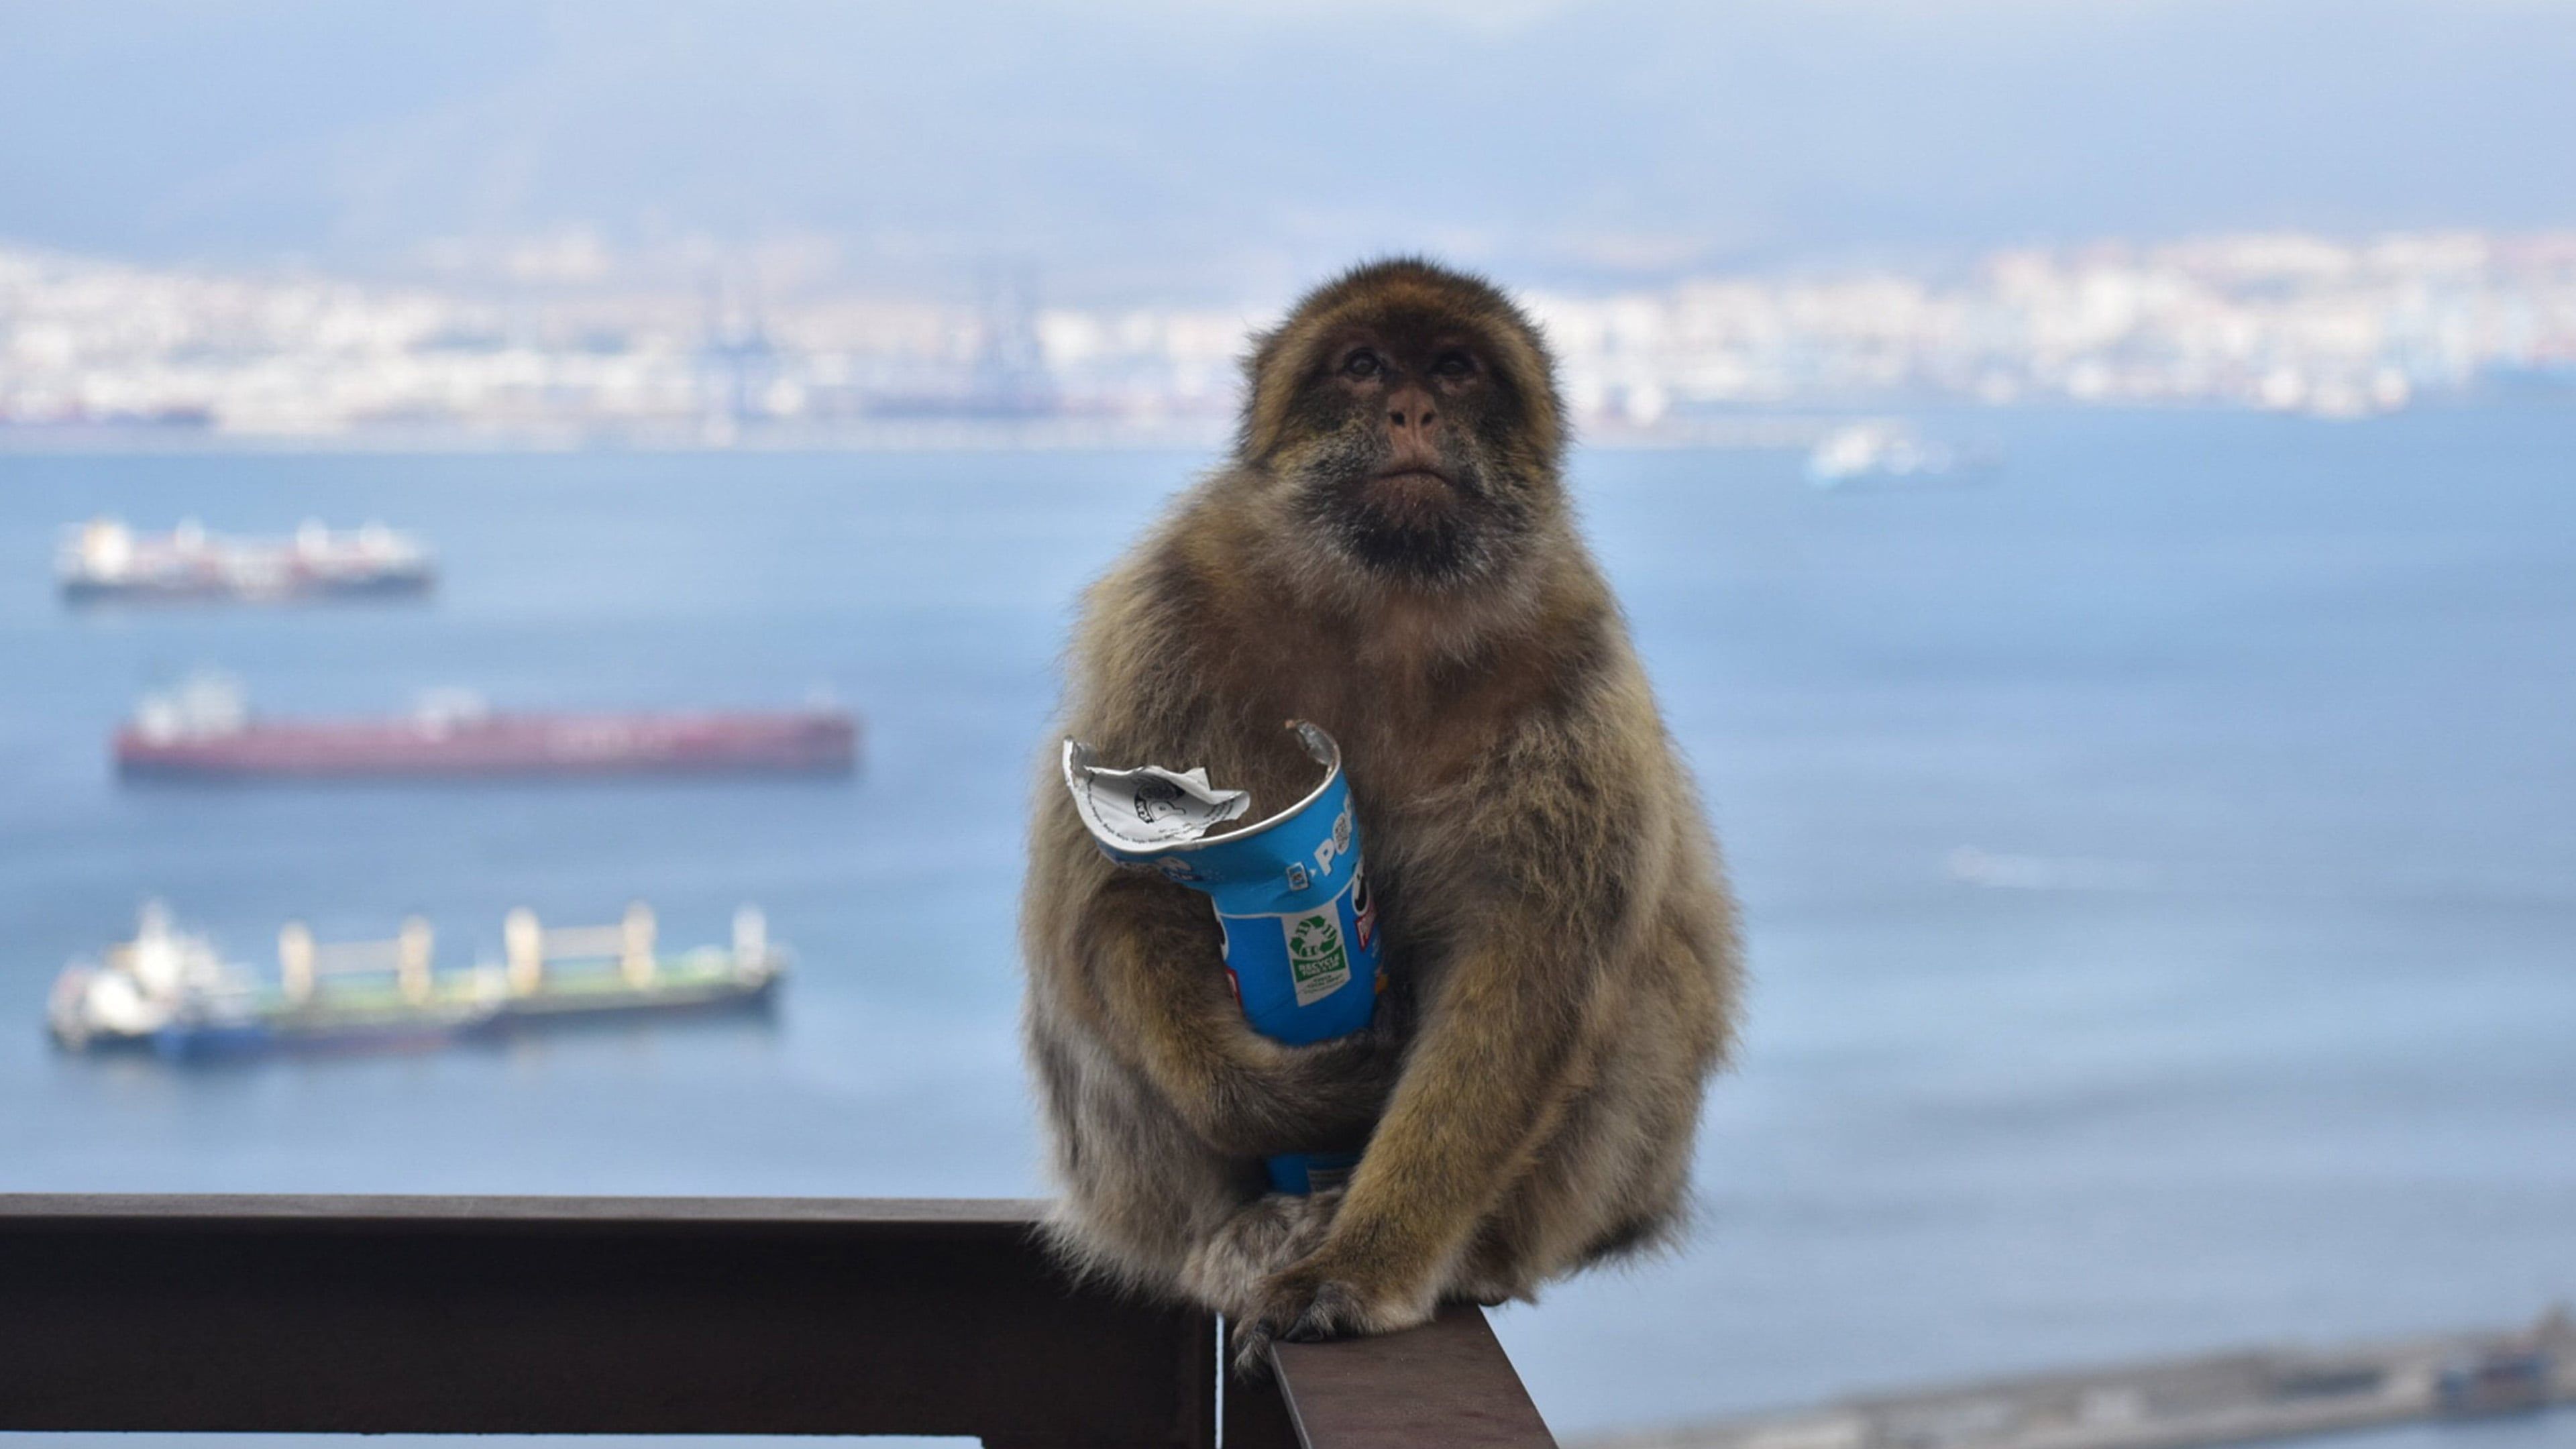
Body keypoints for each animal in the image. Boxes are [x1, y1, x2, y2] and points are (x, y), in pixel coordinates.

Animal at [1020, 257, 1741, 1373]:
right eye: (1362, 367)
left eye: (1454, 368)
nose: (1411, 409)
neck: (1387, 611)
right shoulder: (1167, 611)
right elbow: (1119, 895)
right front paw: (1289, 1097)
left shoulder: (1573, 665)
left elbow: (1527, 965)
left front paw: (1366, 1265)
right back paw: (1243, 1230)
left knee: (1650, 974)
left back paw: (1466, 1251)